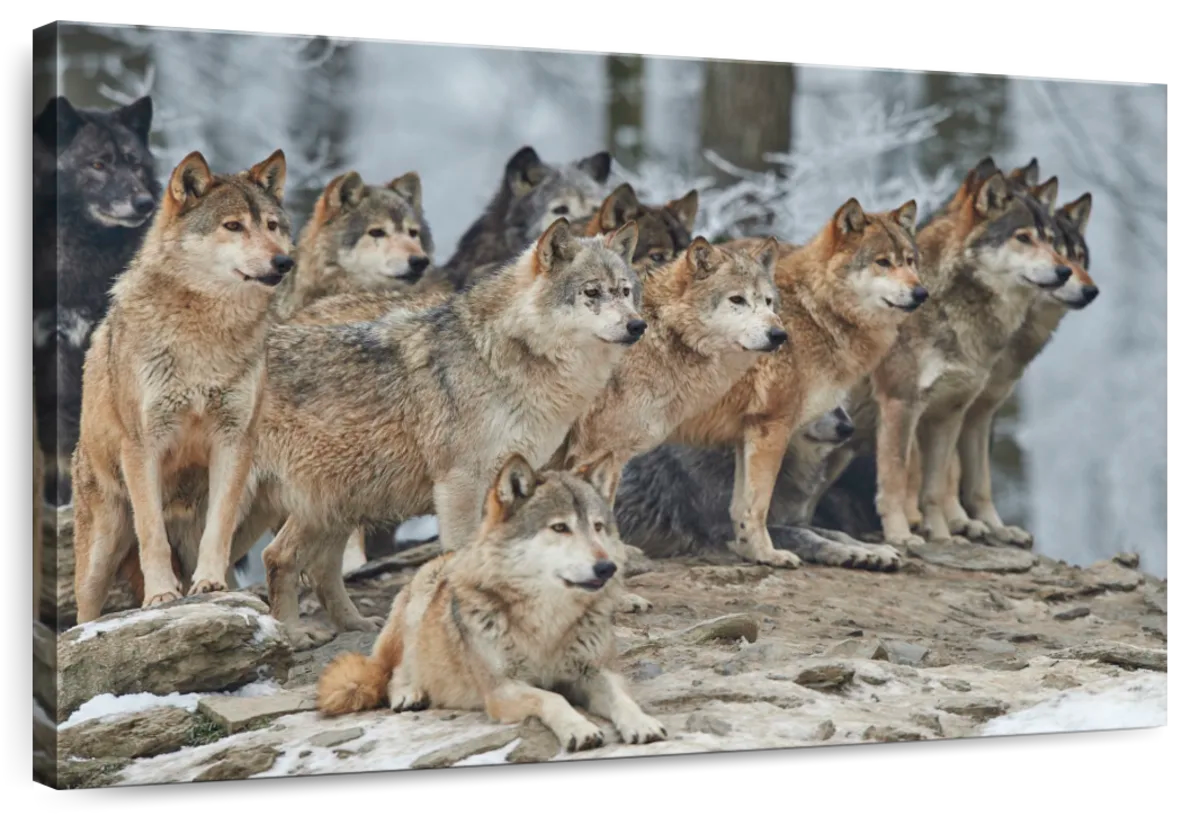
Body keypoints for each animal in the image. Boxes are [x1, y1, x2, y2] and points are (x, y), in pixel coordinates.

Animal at [70, 149, 294, 624]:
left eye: (271, 225)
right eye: (233, 226)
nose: (284, 262)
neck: (204, 336)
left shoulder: (234, 440)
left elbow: (218, 529)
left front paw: (209, 584)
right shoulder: (143, 446)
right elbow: (152, 533)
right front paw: (160, 596)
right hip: (100, 551)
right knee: (84, 613)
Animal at [226, 218, 644, 648]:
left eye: (625, 291)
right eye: (592, 292)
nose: (637, 325)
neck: (504, 356)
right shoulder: (459, 484)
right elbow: (463, 555)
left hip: (334, 502)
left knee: (295, 560)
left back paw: (350, 624)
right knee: (269, 559)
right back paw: (289, 633)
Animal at [316, 453, 668, 753]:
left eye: (597, 527)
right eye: (560, 527)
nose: (607, 567)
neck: (548, 622)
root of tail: (444, 557)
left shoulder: (595, 672)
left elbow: (621, 698)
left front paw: (642, 723)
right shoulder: (502, 690)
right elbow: (553, 698)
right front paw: (580, 730)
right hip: (419, 606)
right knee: (395, 670)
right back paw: (408, 693)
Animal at [656, 197, 926, 569]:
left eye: (910, 261)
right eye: (883, 262)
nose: (921, 292)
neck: (815, 311)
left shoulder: (748, 431)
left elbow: (745, 508)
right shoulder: (773, 426)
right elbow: (759, 506)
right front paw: (768, 554)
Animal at [869, 159, 1074, 549]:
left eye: (1051, 241)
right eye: (1023, 237)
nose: (1065, 271)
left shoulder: (955, 412)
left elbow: (940, 486)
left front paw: (944, 535)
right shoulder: (901, 405)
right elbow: (897, 478)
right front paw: (901, 535)